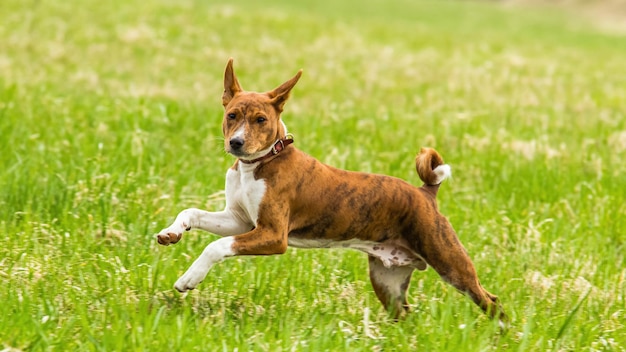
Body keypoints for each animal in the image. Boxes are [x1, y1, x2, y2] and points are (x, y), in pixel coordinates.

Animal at [154, 59, 504, 324]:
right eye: (232, 115)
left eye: (261, 119)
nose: (236, 143)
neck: (259, 165)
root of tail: (426, 193)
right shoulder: (240, 220)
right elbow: (191, 212)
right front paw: (171, 233)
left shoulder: (273, 234)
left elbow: (216, 247)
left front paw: (189, 278)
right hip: (387, 279)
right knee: (405, 315)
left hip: (450, 262)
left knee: (492, 302)